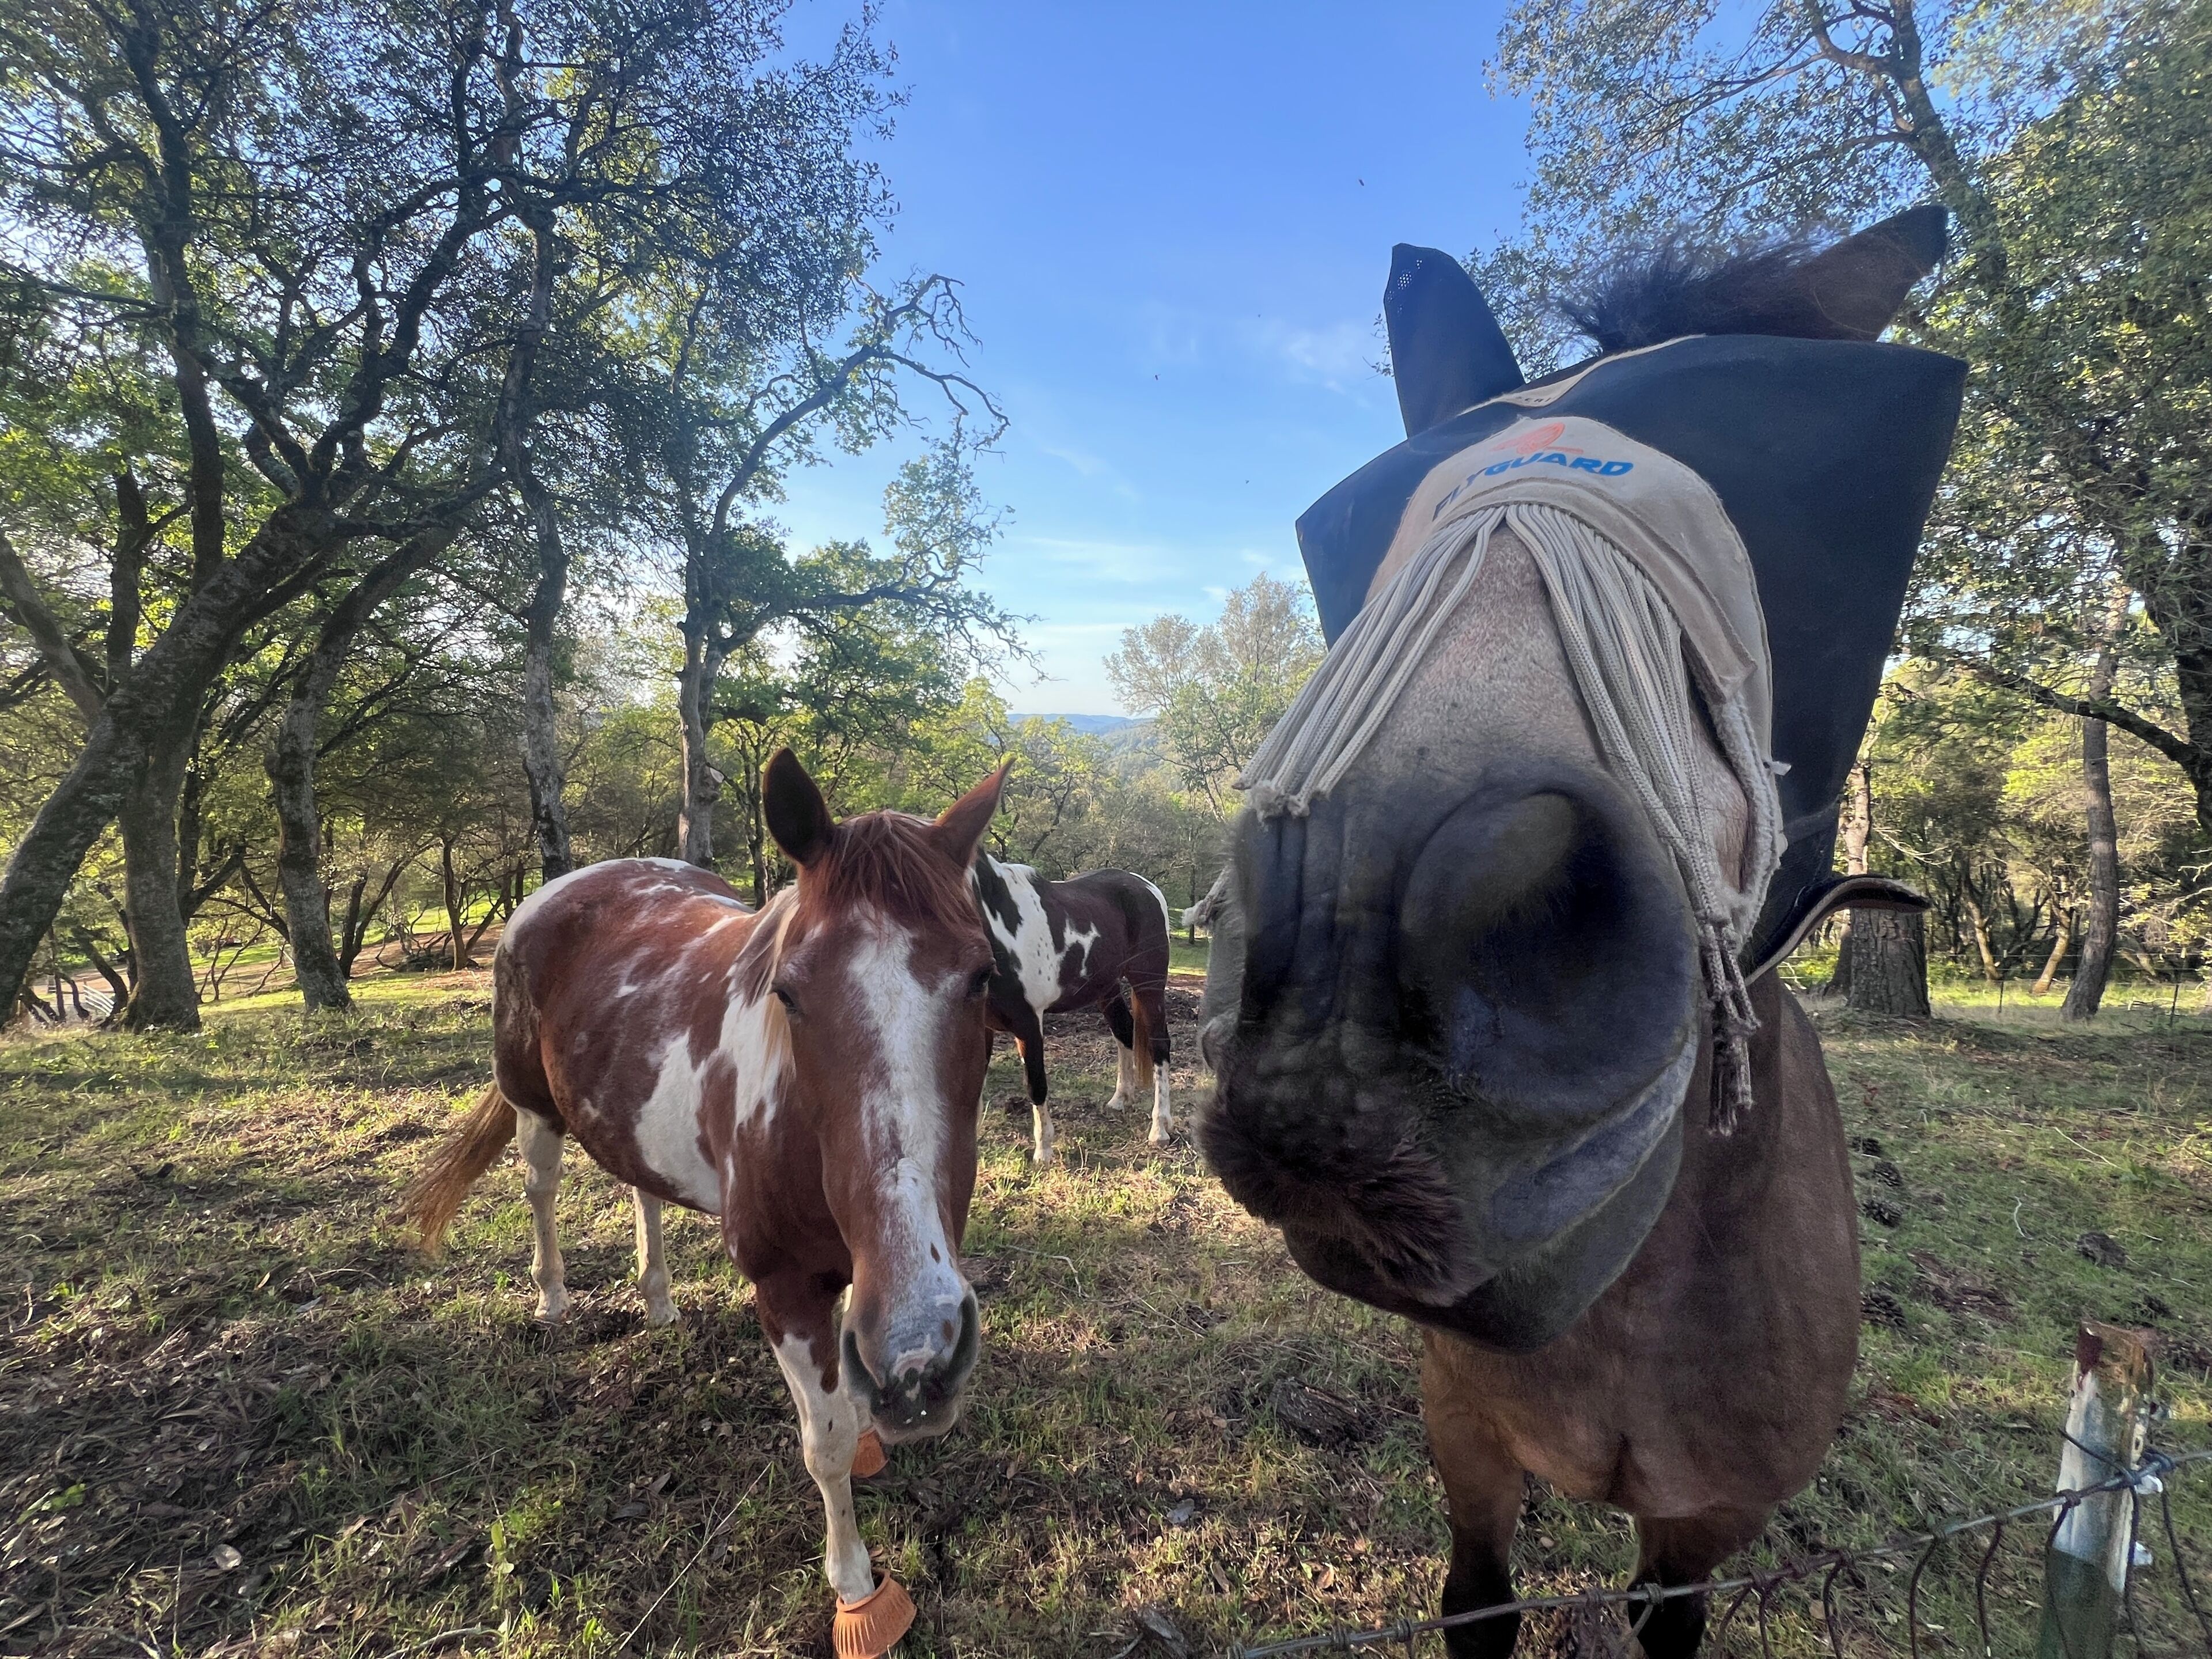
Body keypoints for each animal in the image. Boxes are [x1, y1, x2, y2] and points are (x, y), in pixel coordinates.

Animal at [402, 751, 1008, 1659]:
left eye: (981, 976)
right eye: (788, 992)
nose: (918, 1352)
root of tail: (560, 890)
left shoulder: (857, 1277)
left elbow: (848, 1389)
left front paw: (872, 1424)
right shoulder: (784, 1288)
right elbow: (825, 1443)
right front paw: (857, 1593)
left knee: (641, 1194)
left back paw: (657, 1302)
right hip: (533, 1106)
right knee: (540, 1188)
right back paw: (551, 1298)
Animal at [970, 855, 1174, 1165]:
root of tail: (1147, 887)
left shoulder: (1028, 1022)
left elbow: (1036, 1083)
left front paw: (1043, 1152)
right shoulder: (980, 1024)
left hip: (1148, 985)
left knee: (1159, 1045)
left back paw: (1159, 1128)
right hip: (1107, 988)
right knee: (1124, 1031)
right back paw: (1121, 1099)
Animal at [1196, 208, 1963, 1656]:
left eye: (1828, 464)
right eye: (1349, 519)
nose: (1346, 955)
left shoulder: (1707, 1522)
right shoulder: (1466, 1438)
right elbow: (1478, 1604)